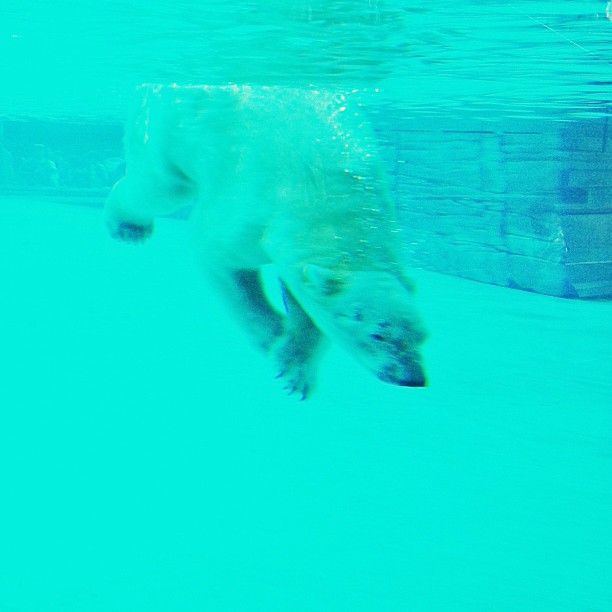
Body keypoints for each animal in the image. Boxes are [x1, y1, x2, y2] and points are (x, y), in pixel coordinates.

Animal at [105, 83, 428, 400]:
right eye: (377, 333)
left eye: (422, 334)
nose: (412, 378)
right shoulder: (253, 211)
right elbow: (217, 256)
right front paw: (274, 336)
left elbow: (305, 298)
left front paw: (296, 366)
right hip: (168, 131)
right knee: (162, 188)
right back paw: (128, 226)